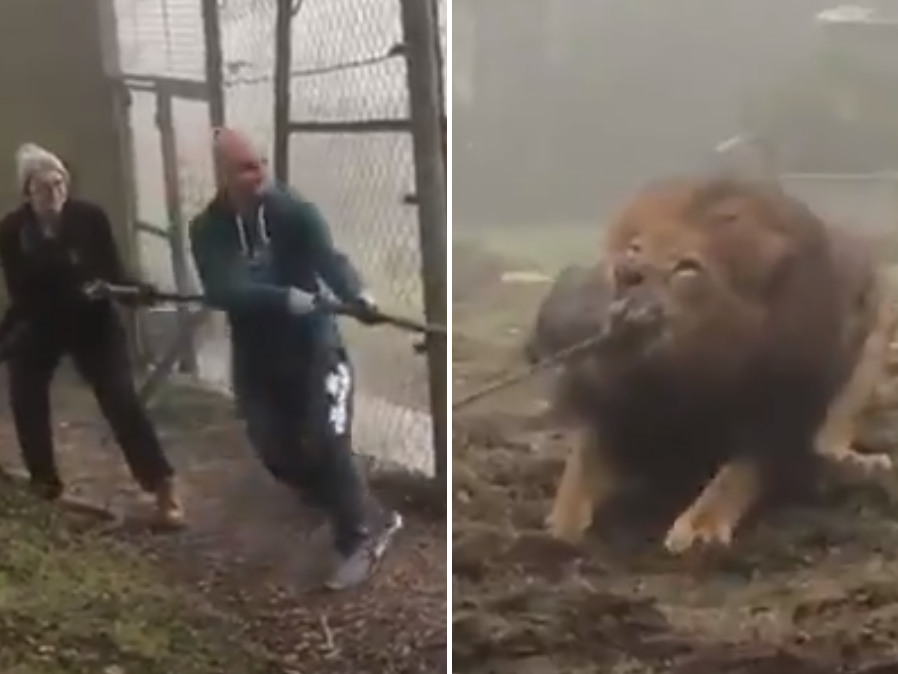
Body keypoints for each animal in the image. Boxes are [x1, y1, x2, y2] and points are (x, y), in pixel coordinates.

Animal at [544, 177, 892, 552]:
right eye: (634, 249)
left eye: (687, 267)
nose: (626, 272)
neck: (677, 376)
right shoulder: (612, 409)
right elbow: (580, 467)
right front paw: (562, 526)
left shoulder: (777, 420)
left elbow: (736, 474)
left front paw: (700, 527)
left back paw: (857, 463)